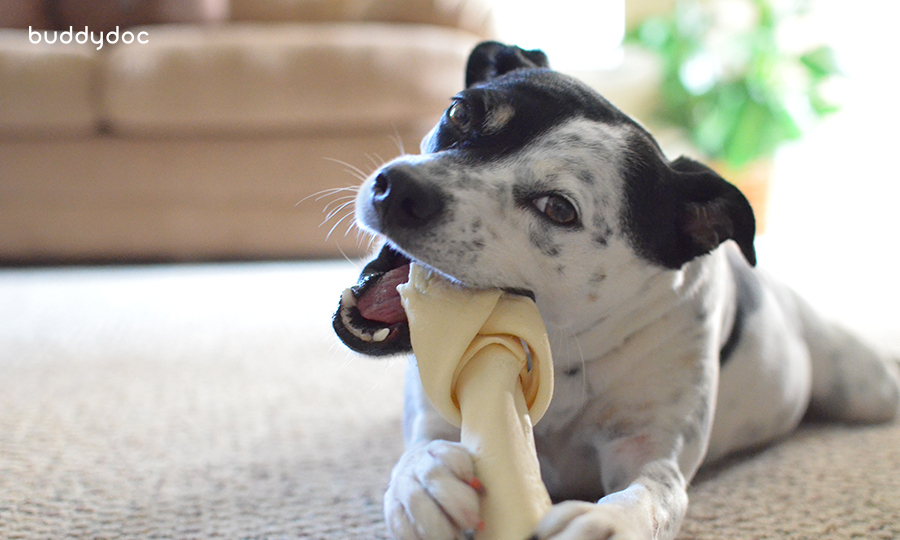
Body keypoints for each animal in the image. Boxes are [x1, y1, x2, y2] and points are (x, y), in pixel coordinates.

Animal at [330, 42, 900, 540]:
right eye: (462, 113)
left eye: (558, 208)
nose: (398, 188)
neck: (562, 350)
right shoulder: (440, 413)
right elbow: (421, 450)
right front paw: (424, 480)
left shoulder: (649, 452)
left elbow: (651, 495)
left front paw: (604, 522)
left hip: (865, 390)